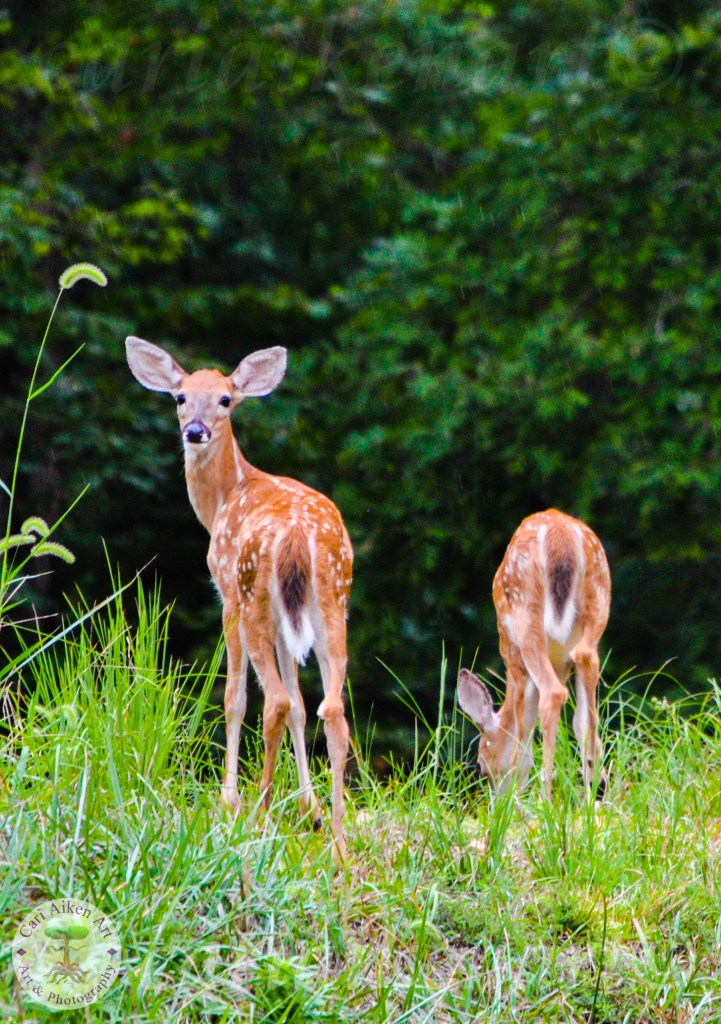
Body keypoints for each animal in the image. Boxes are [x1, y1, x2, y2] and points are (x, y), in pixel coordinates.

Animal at [125, 337, 353, 860]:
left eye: (226, 399)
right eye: (180, 396)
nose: (195, 431)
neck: (224, 499)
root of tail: (297, 534)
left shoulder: (226, 591)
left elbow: (234, 697)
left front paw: (228, 799)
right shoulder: (288, 620)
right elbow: (301, 701)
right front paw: (308, 806)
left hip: (251, 594)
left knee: (273, 701)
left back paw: (257, 815)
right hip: (333, 597)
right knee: (329, 708)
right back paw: (337, 837)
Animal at [458, 509, 611, 800]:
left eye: (481, 765)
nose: (497, 801)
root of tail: (560, 537)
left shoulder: (513, 657)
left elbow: (523, 731)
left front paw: (516, 800)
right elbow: (578, 721)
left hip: (526, 614)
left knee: (552, 694)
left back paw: (545, 799)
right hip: (598, 603)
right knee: (587, 665)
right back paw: (593, 794)